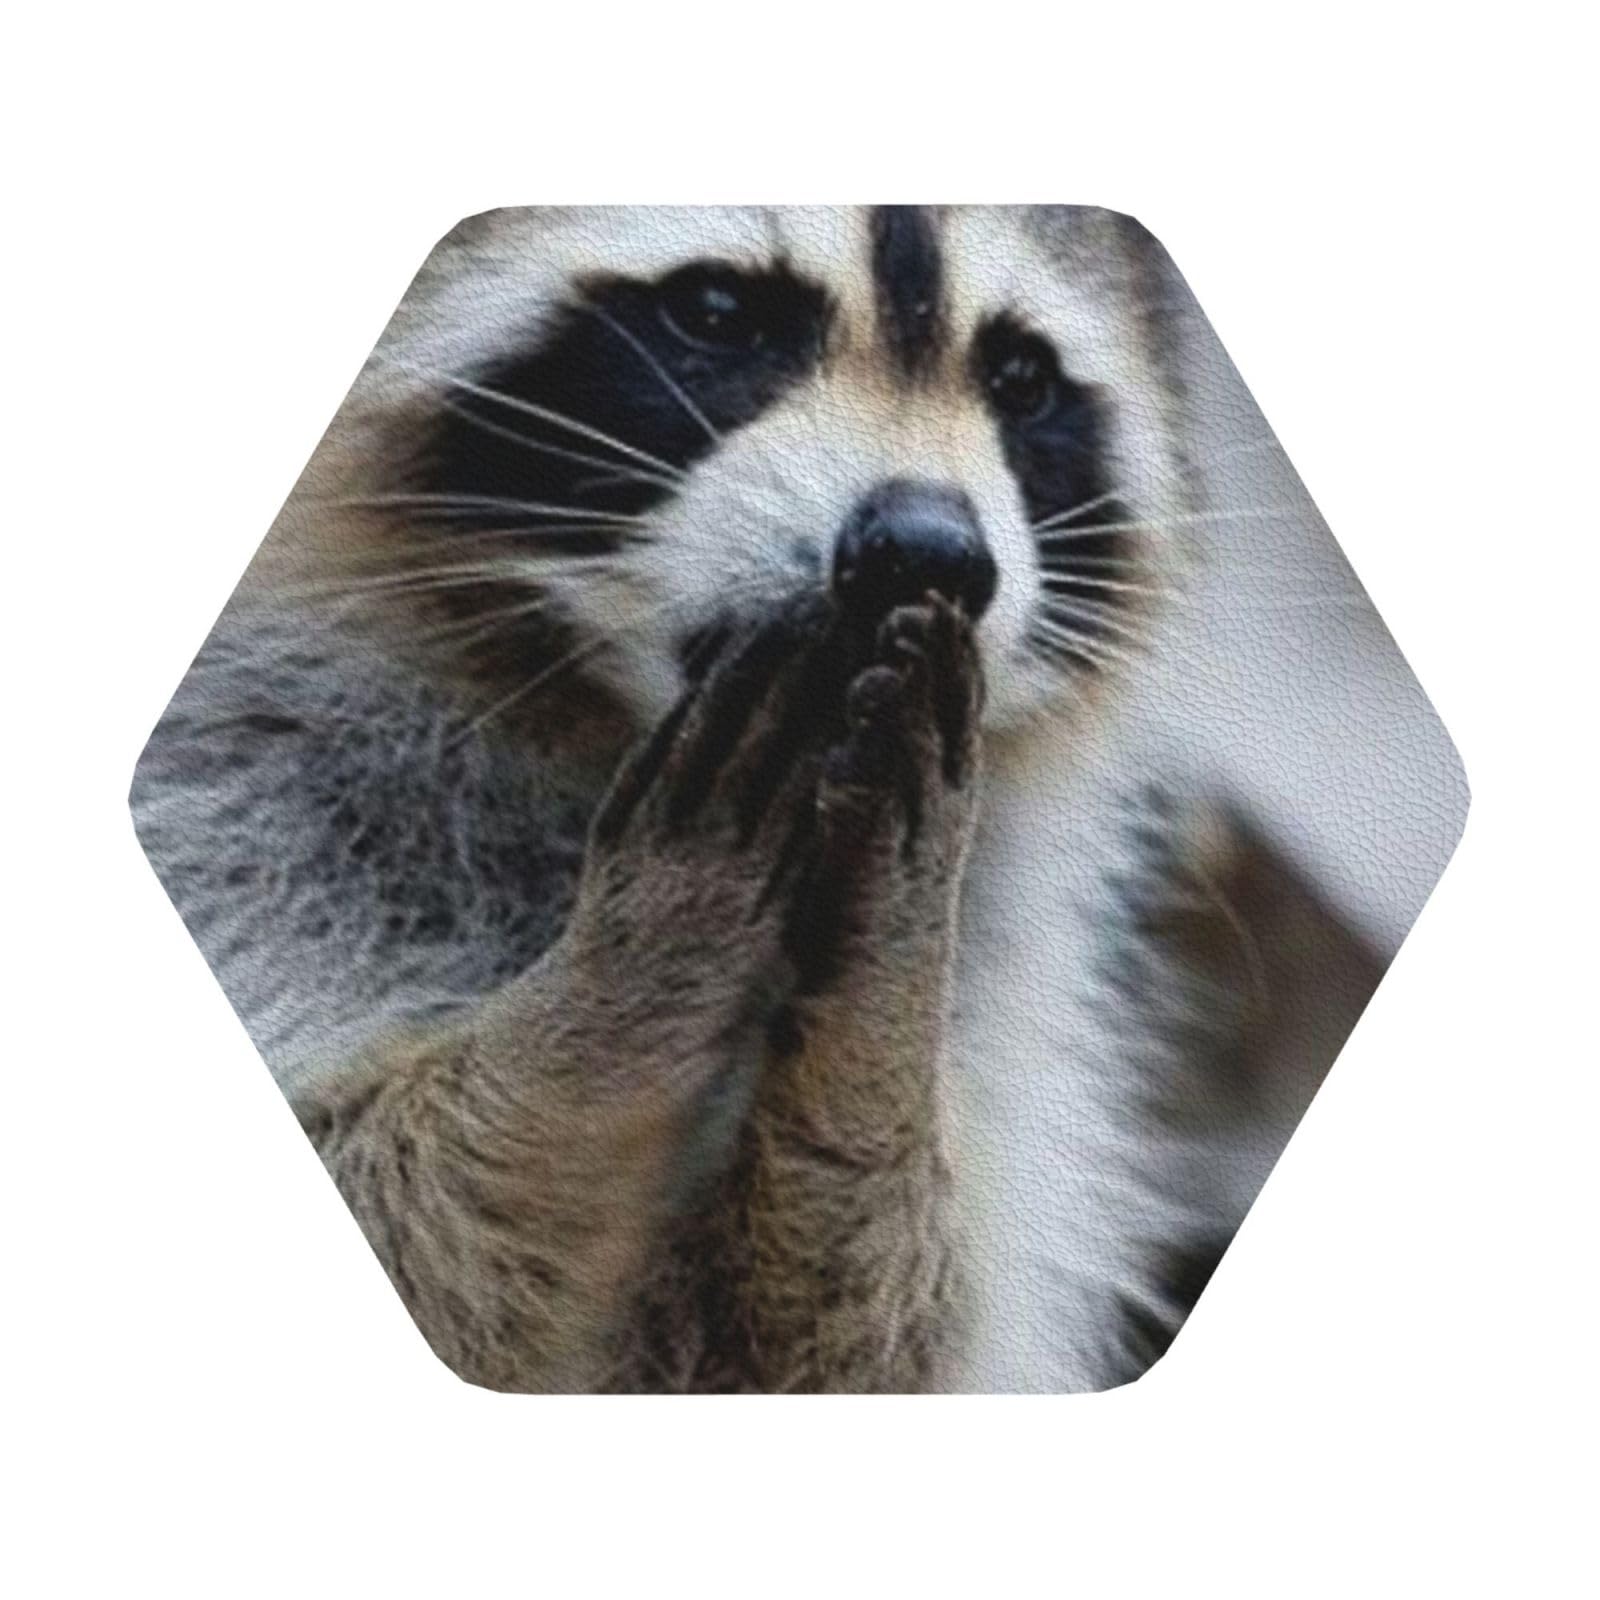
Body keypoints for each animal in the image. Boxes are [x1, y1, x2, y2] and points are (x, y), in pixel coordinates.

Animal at [131, 205, 1353, 1392]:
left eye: (1019, 378)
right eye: (719, 313)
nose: (926, 550)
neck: (599, 720)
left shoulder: (1005, 975)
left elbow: (837, 1348)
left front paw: (875, 1015)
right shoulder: (249, 800)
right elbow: (399, 1215)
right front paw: (622, 987)